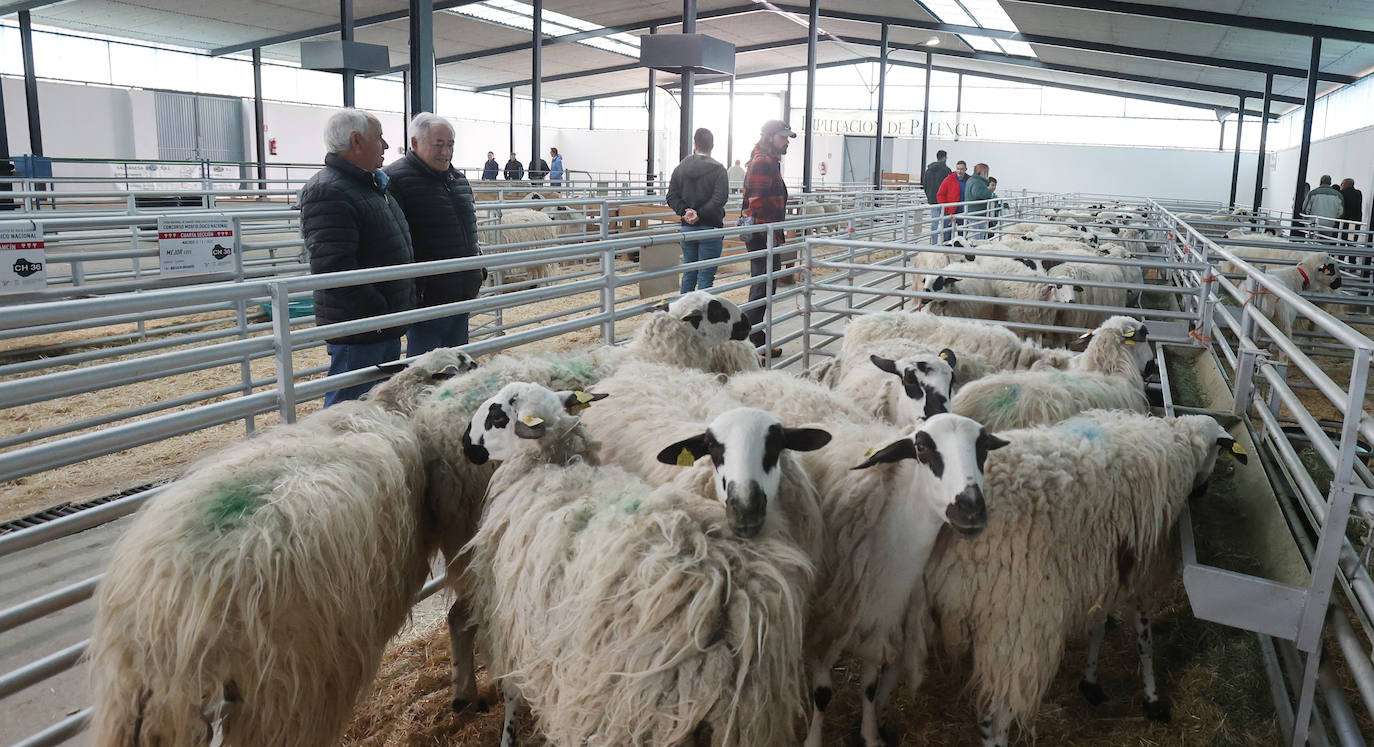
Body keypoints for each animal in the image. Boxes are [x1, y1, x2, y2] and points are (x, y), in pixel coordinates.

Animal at [461, 384, 824, 747]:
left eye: (497, 415)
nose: (465, 442)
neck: (552, 464)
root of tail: (735, 596)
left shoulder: (508, 622)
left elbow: (511, 691)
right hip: (747, 719)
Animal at [923, 411, 1247, 741]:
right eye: (1217, 451)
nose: (1202, 492)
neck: (1179, 443)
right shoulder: (1138, 569)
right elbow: (1144, 638)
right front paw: (1152, 699)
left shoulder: (1104, 565)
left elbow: (1098, 626)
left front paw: (1090, 681)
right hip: (1014, 623)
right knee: (995, 717)